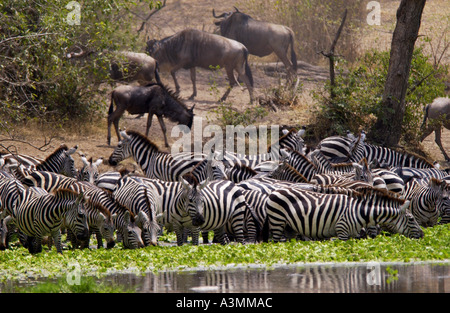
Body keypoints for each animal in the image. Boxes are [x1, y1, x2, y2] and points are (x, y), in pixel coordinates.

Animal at [264, 185, 422, 241]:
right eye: (411, 219)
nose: (423, 235)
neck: (359, 211)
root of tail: (275, 190)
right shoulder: (342, 231)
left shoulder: (352, 235)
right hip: (277, 222)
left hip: (289, 227)